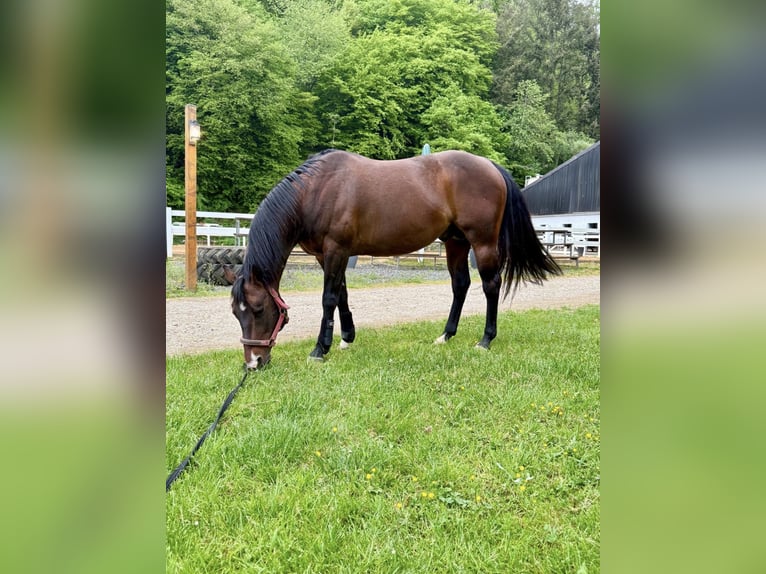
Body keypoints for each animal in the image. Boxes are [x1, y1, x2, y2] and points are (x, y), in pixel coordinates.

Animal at [226, 149, 561, 369]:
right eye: (235, 314)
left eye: (258, 310)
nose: (253, 364)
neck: (317, 190)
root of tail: (490, 165)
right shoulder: (328, 254)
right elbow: (342, 295)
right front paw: (346, 338)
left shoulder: (336, 250)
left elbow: (328, 298)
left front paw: (320, 349)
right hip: (455, 242)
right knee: (460, 285)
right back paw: (446, 335)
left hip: (482, 242)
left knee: (491, 285)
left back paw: (485, 340)